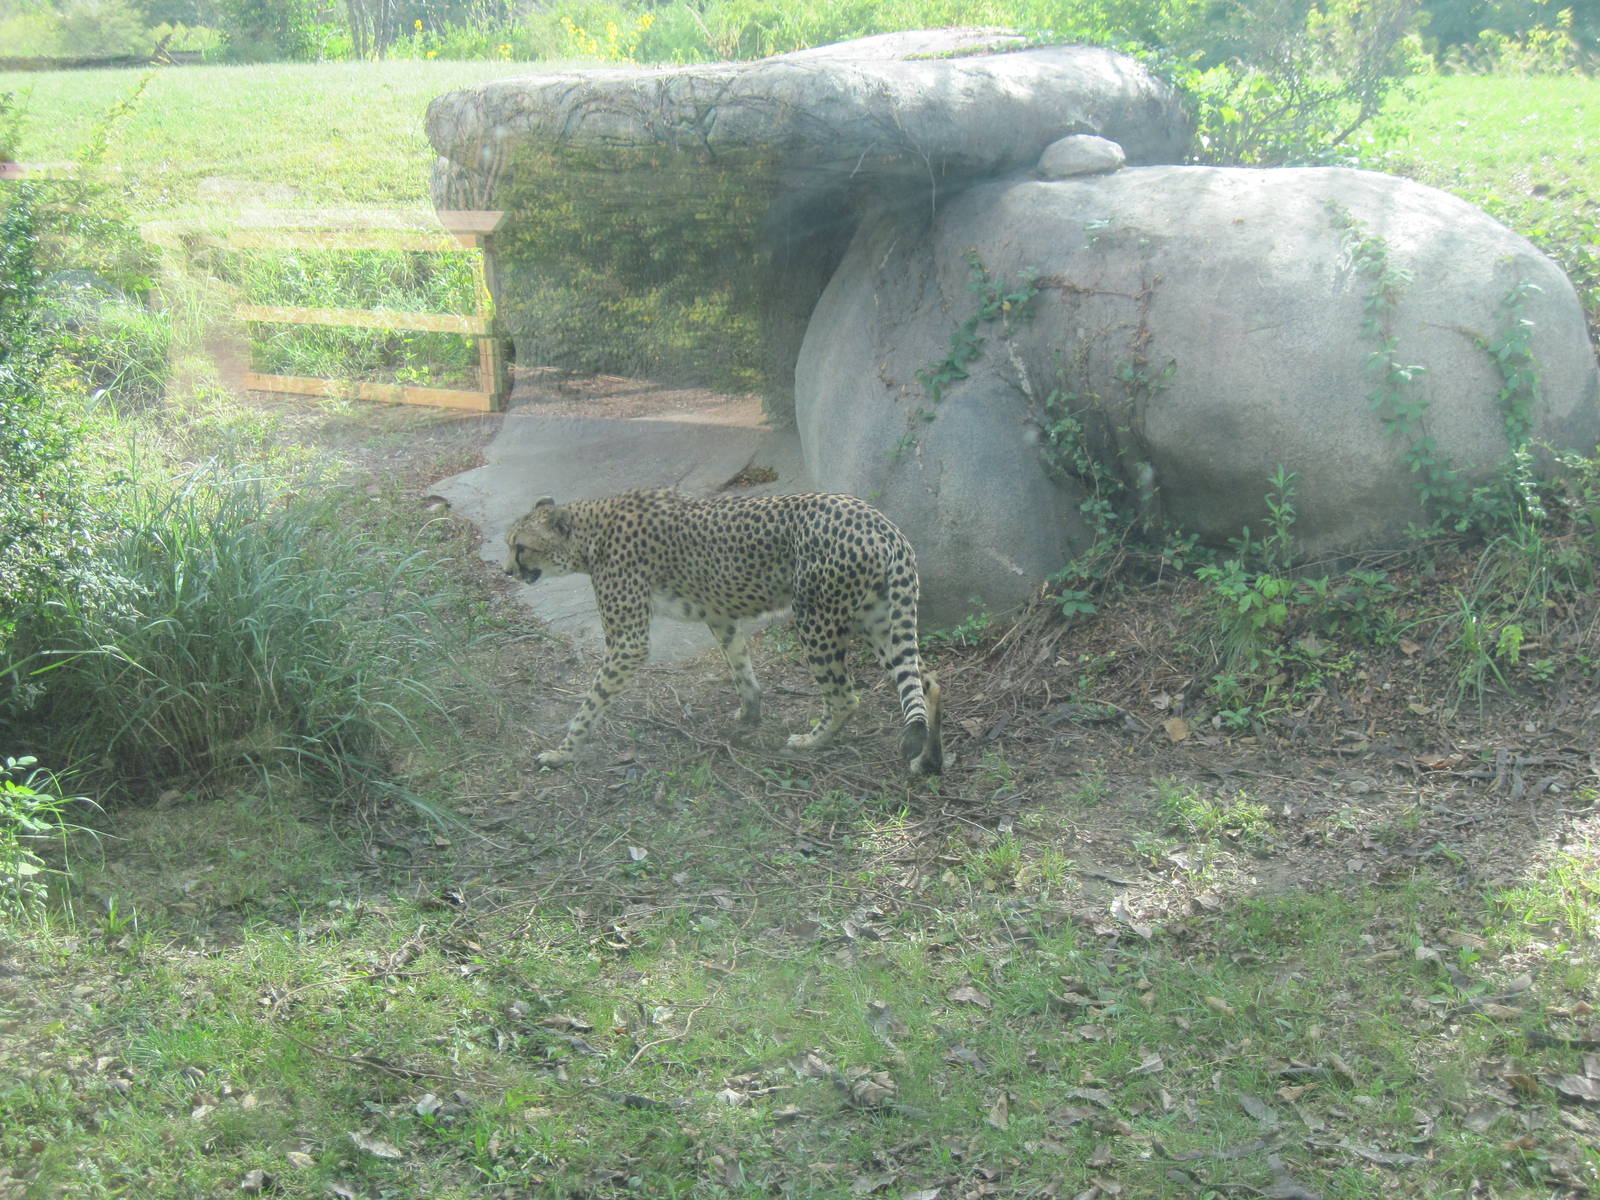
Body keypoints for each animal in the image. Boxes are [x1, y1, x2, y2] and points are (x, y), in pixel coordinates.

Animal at [504, 488, 944, 776]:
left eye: (521, 546)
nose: (507, 571)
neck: (589, 535)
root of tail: (879, 521)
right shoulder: (719, 614)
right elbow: (740, 667)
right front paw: (748, 715)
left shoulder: (628, 642)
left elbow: (592, 700)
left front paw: (563, 752)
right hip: (878, 619)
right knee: (926, 681)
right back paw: (928, 759)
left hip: (818, 619)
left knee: (845, 697)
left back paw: (810, 742)